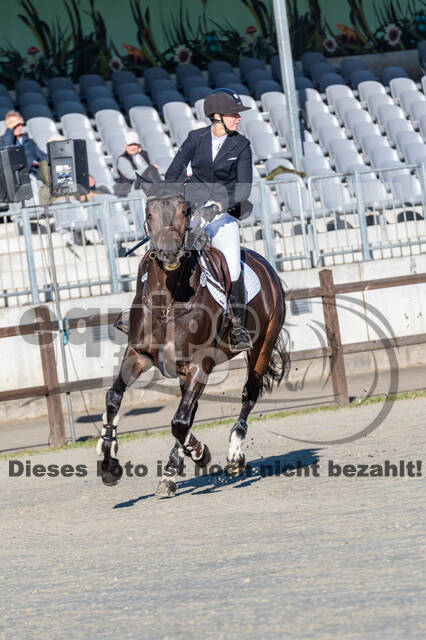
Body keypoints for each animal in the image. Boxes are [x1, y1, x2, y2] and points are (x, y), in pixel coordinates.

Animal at [98, 190, 288, 496]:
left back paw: (234, 456)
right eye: (149, 213)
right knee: (190, 410)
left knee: (248, 393)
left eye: (184, 212)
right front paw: (108, 464)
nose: (169, 253)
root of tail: (265, 265)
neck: (168, 301)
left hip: (262, 346)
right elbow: (114, 398)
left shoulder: (200, 363)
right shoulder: (139, 354)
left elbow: (178, 422)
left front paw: (201, 453)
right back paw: (171, 470)